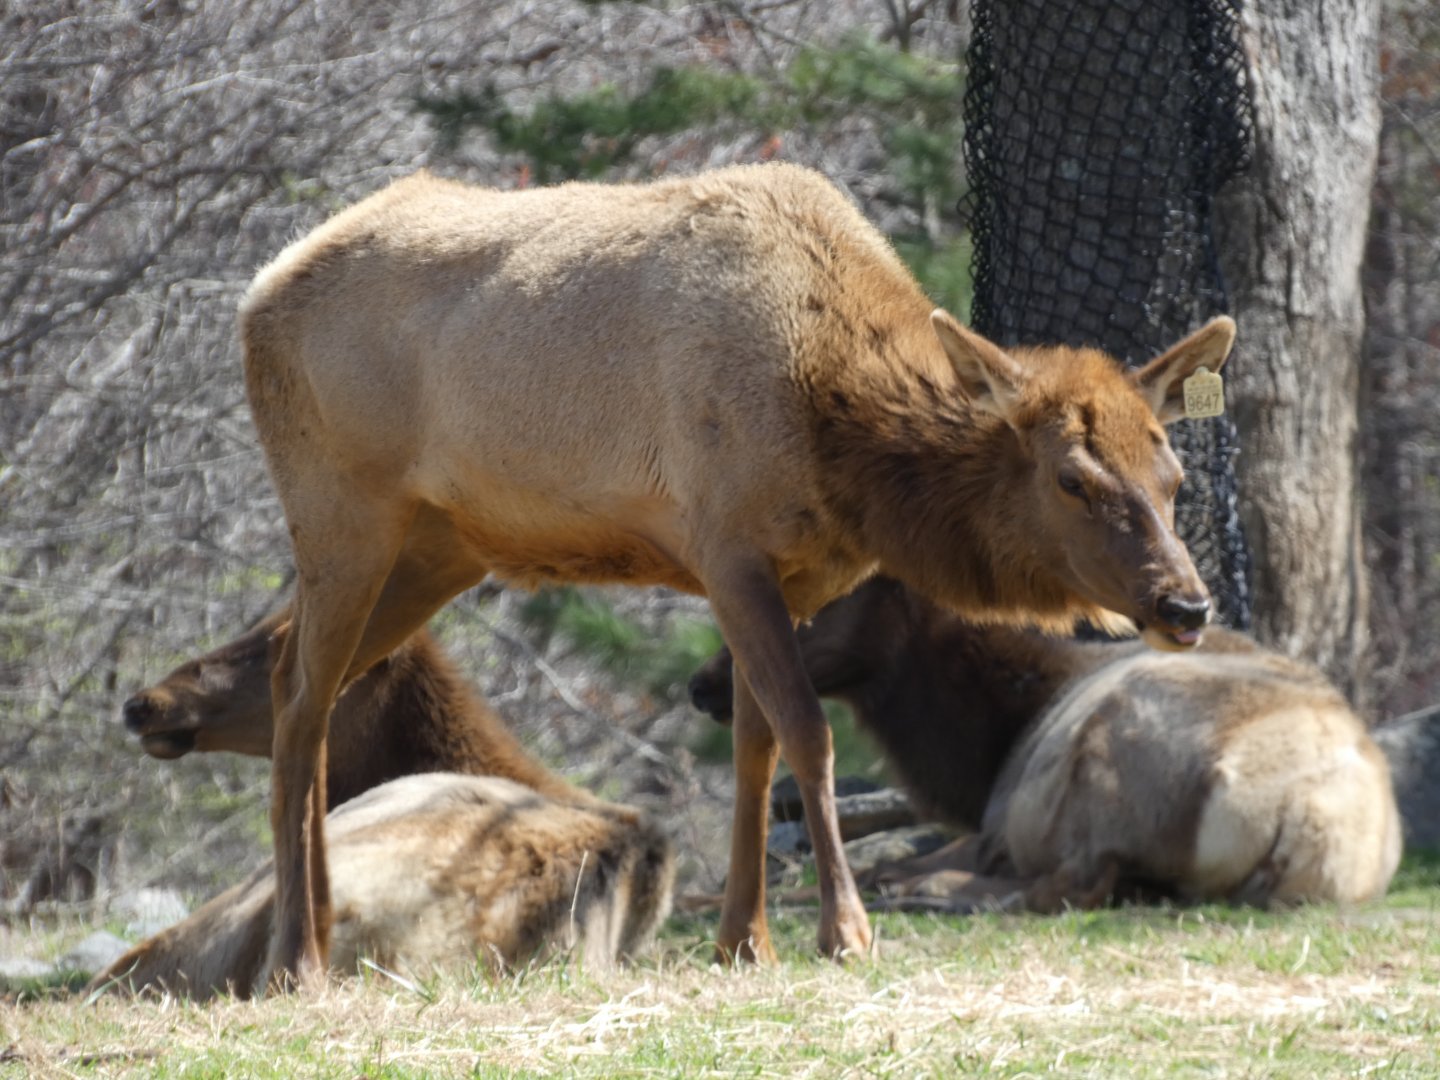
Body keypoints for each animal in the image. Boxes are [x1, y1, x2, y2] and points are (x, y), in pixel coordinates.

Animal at [237, 161, 1233, 983]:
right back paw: (295, 961)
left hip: (436, 546)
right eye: (1073, 478)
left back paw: (313, 935)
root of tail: (255, 295)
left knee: (302, 682)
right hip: (339, 511)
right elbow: (808, 733)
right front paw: (845, 932)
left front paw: (743, 940)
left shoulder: (789, 577)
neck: (840, 440)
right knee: (300, 698)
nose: (1184, 604)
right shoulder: (727, 548)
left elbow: (755, 747)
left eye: (1173, 475)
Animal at [689, 577, 1403, 911]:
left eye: (818, 602)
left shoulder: (998, 824)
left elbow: (880, 865)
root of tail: (1301, 824)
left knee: (1065, 886)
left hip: (1107, 757)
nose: (703, 685)